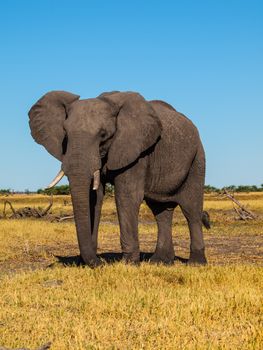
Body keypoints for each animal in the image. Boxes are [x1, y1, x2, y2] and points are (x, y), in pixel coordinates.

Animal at [28, 91, 209, 266]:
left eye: (103, 134)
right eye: (65, 134)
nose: (100, 263)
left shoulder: (135, 151)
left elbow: (126, 197)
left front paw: (129, 264)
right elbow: (94, 198)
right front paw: (85, 262)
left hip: (197, 159)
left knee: (191, 209)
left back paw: (196, 263)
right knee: (161, 211)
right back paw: (160, 261)